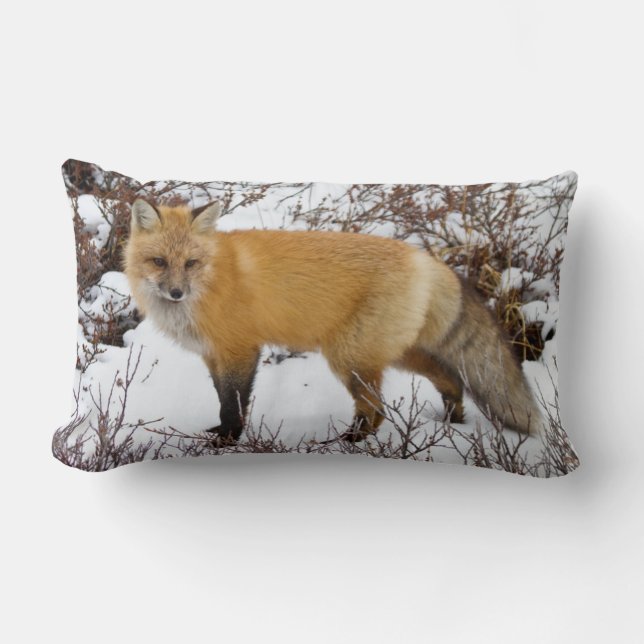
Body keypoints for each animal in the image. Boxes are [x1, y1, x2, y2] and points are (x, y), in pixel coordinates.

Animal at [123, 198, 546, 444]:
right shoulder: (213, 355)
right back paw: (452, 419)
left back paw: (353, 441)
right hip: (389, 354)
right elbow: (221, 397)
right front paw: (222, 432)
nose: (176, 293)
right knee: (447, 378)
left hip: (350, 357)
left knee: (377, 409)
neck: (210, 283)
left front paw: (228, 439)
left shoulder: (240, 350)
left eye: (191, 263)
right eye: (159, 262)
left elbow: (234, 402)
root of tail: (426, 258)